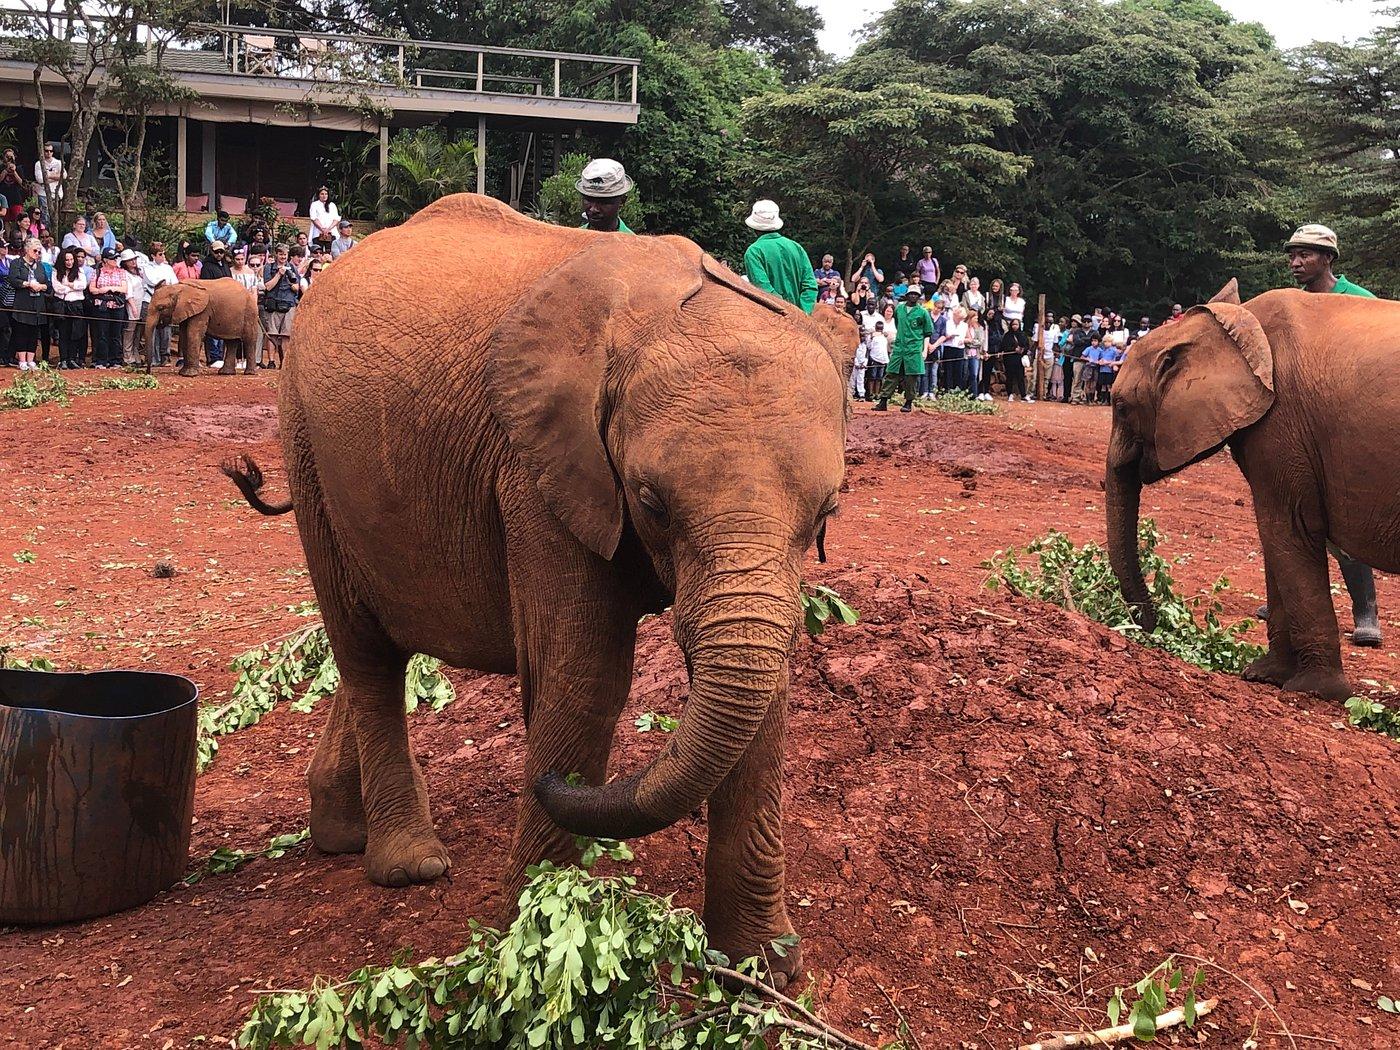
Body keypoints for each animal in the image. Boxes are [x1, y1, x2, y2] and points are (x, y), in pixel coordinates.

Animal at [222, 193, 850, 984]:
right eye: (651, 503)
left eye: (827, 513)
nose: (556, 784)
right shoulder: (537, 470)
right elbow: (584, 674)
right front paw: (542, 932)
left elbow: (767, 694)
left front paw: (762, 967)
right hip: (304, 441)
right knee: (364, 648)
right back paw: (408, 865)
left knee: (379, 641)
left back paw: (340, 831)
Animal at [1106, 278, 1399, 701]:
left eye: (1120, 407)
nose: (1152, 625)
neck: (1233, 326)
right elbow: (1278, 542)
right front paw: (1263, 676)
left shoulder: (1282, 425)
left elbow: (1287, 531)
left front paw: (1315, 691)